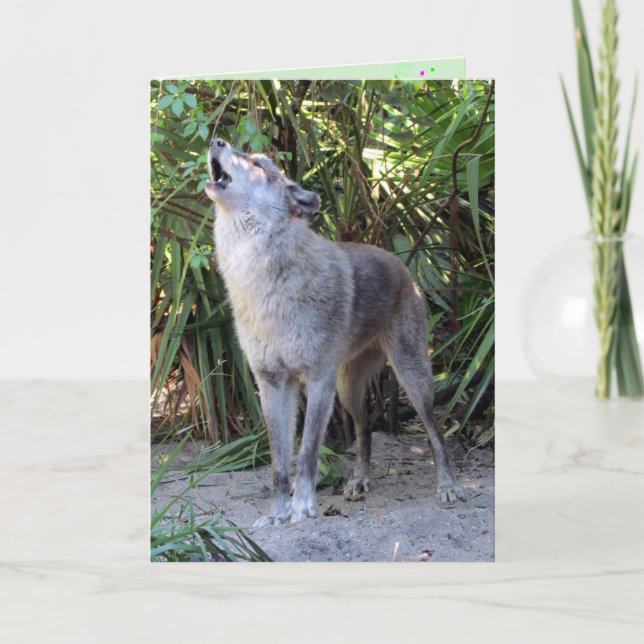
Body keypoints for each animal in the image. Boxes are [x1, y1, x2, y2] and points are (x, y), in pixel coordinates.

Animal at [204, 138, 463, 526]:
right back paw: (357, 483)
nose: (216, 140)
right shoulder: (272, 383)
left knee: (435, 430)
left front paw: (302, 509)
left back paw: (447, 486)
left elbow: (307, 453)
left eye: (258, 164)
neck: (263, 282)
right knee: (365, 428)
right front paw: (277, 515)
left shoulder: (317, 380)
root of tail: (399, 262)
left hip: (411, 380)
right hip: (348, 389)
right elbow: (279, 464)